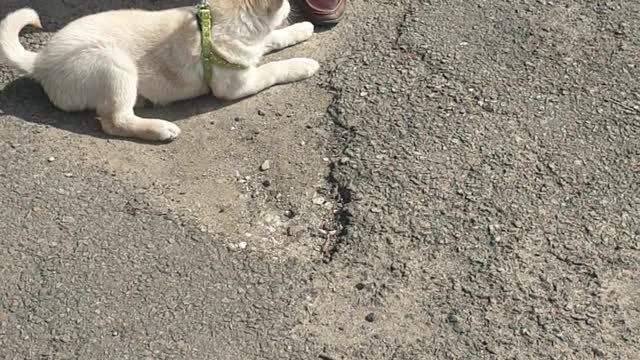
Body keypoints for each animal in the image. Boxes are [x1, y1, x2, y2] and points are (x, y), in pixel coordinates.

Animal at [0, 1, 320, 142]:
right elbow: (274, 68)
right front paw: (302, 64)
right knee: (114, 121)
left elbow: (272, 38)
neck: (215, 21)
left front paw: (301, 29)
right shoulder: (236, 85)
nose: (293, 5)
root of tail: (40, 62)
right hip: (114, 63)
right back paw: (159, 128)